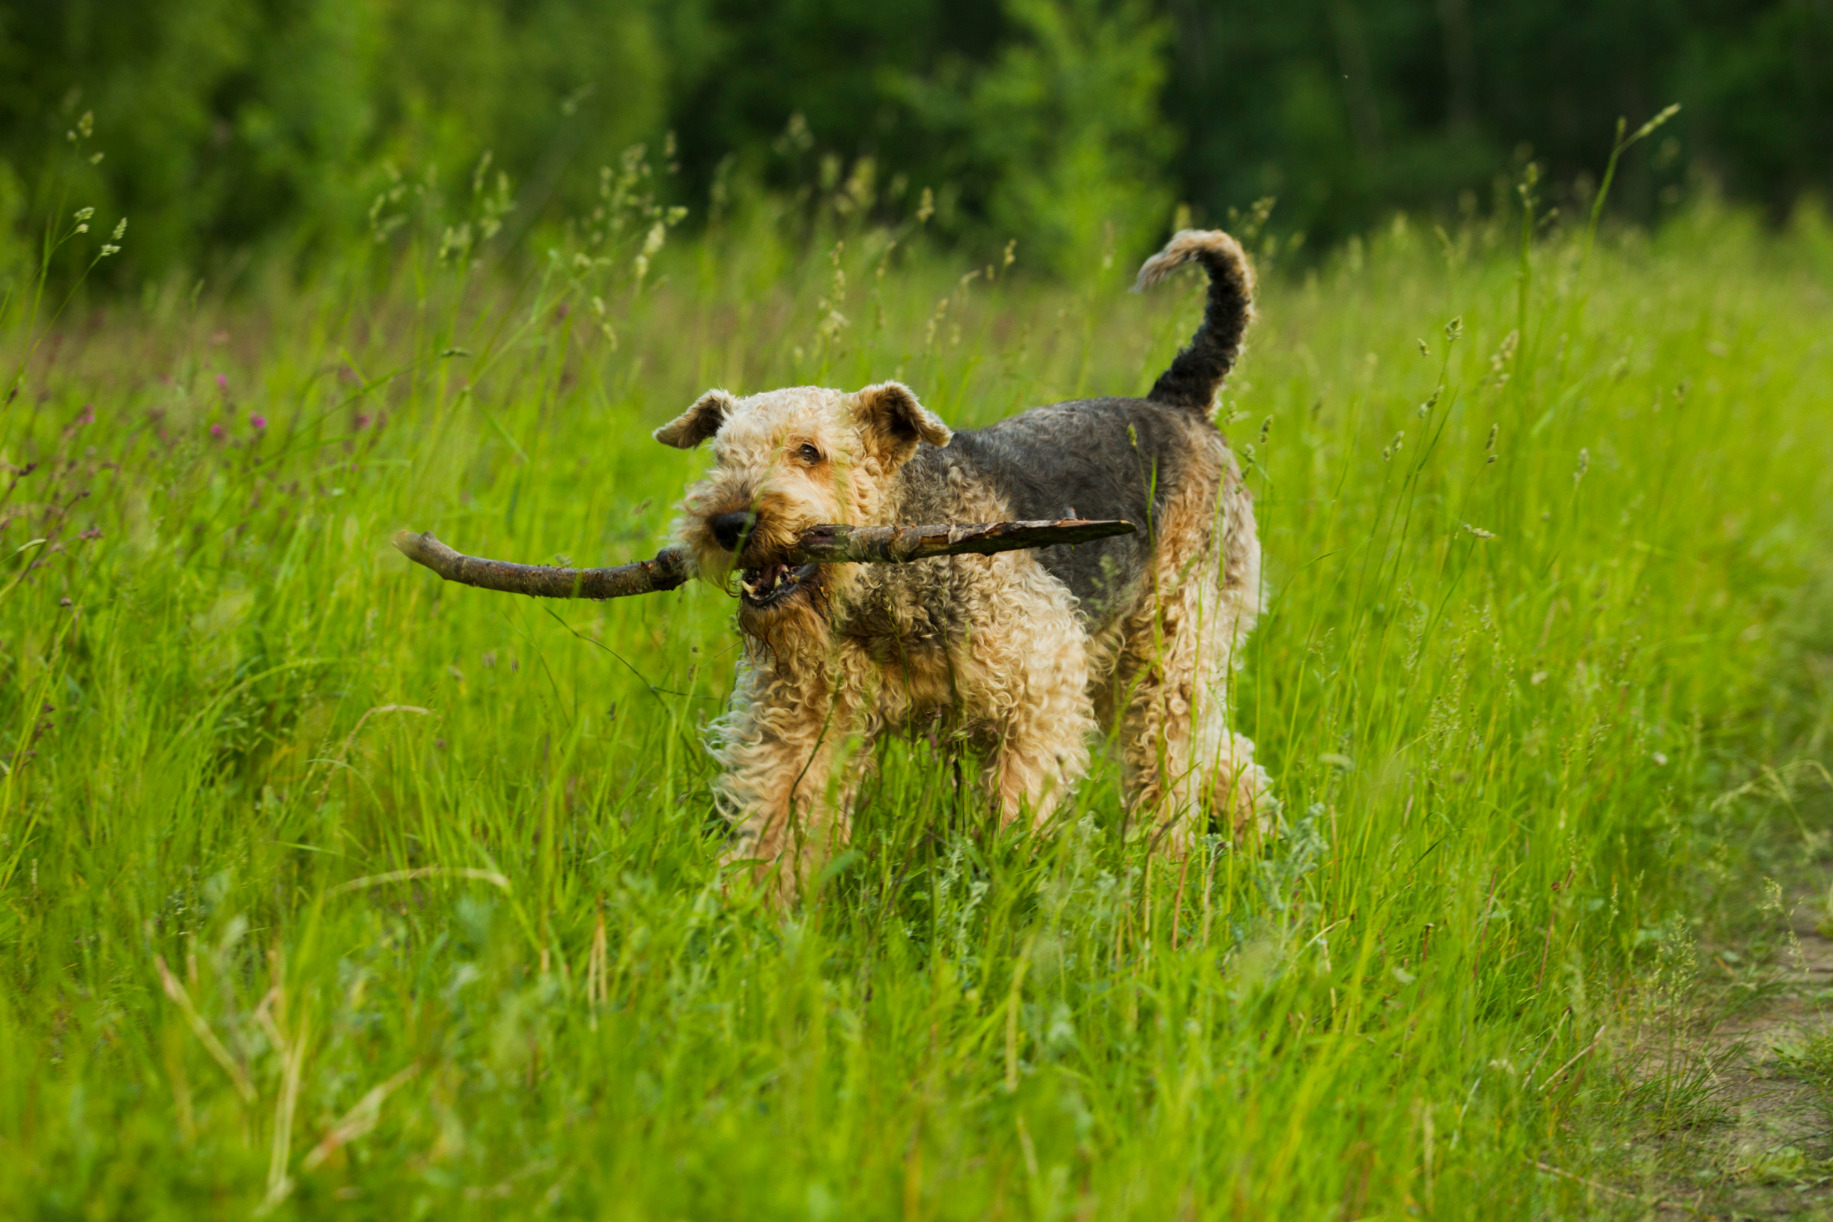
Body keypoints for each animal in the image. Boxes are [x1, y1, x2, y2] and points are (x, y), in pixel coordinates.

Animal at [659, 229, 1275, 897]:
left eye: (809, 451)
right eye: (721, 455)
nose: (729, 525)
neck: (885, 598)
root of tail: (1179, 402)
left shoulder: (1040, 687)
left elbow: (1012, 806)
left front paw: (998, 881)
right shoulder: (802, 719)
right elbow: (780, 811)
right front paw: (755, 906)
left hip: (1170, 650)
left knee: (1174, 772)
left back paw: (1171, 870)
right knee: (1230, 762)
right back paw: (1257, 843)